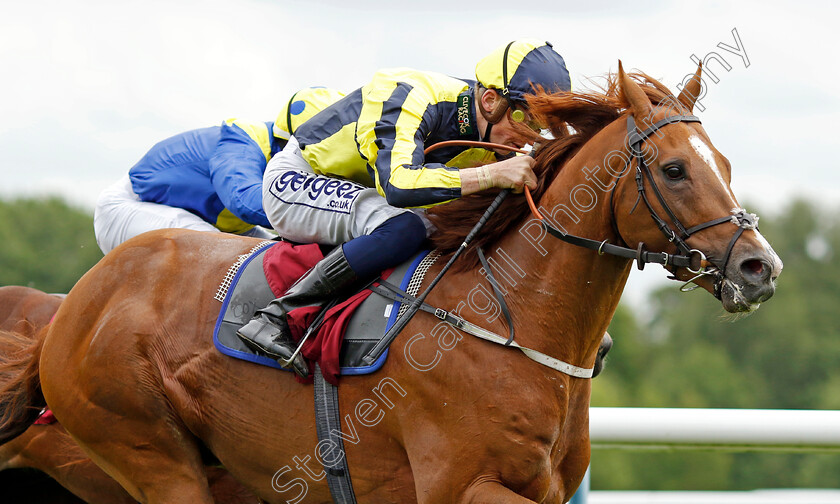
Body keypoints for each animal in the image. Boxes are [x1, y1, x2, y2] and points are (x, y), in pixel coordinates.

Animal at [1, 65, 780, 502]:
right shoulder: (460, 486)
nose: (759, 267)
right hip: (152, 455)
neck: (513, 323)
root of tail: (72, 308)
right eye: (675, 169)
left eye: (725, 162)